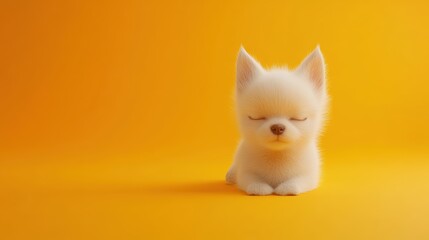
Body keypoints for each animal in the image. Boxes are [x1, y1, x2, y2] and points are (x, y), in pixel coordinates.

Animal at [224, 46, 328, 195]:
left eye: (299, 118)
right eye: (256, 117)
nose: (277, 127)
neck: (277, 155)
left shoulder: (310, 174)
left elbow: (299, 180)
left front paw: (287, 188)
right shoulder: (245, 172)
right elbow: (249, 178)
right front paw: (259, 187)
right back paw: (231, 175)